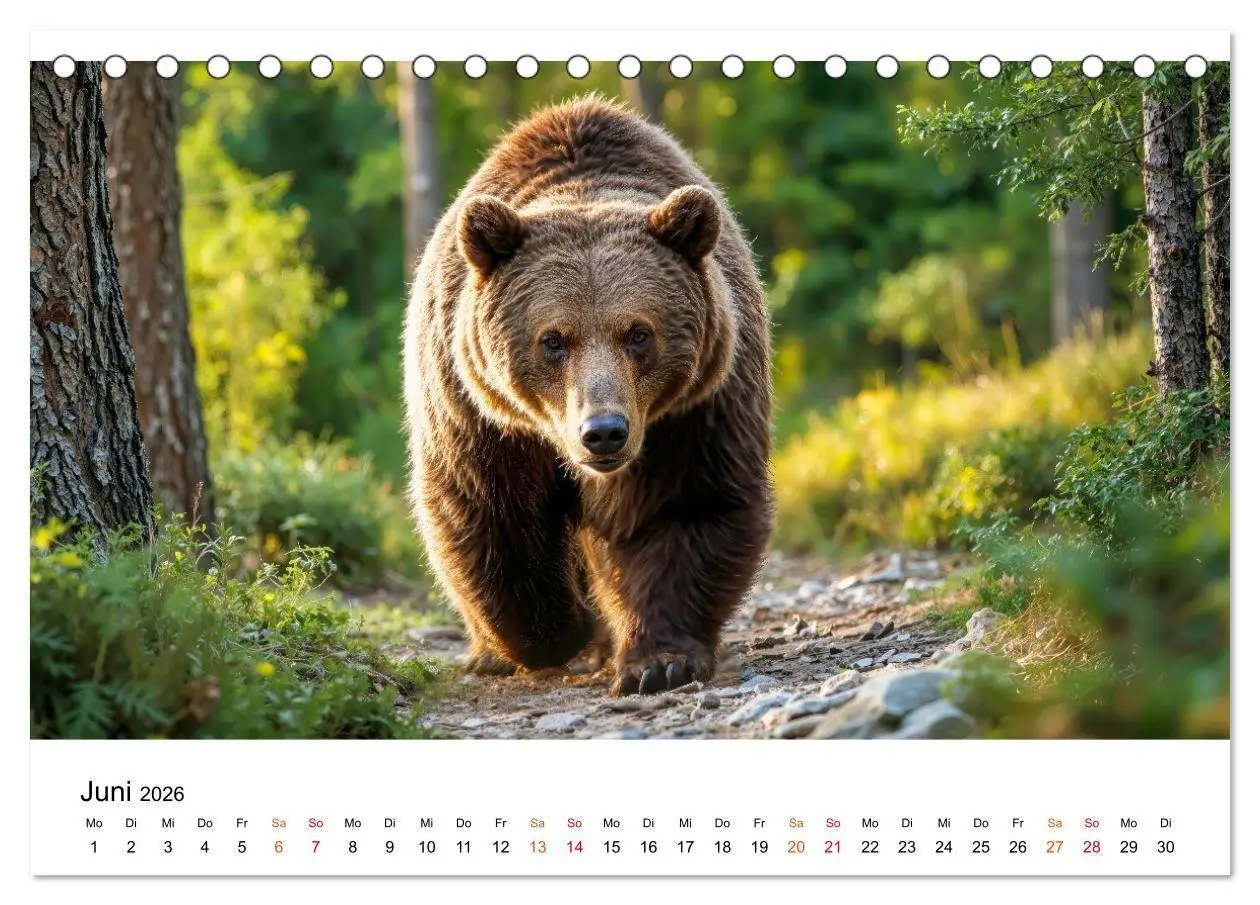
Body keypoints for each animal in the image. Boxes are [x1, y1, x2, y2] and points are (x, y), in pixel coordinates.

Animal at [402, 95, 773, 696]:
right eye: (553, 340)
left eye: (639, 333)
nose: (603, 432)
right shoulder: (480, 416)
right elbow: (495, 515)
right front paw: (558, 633)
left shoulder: (694, 411)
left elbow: (683, 506)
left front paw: (659, 662)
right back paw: (493, 654)